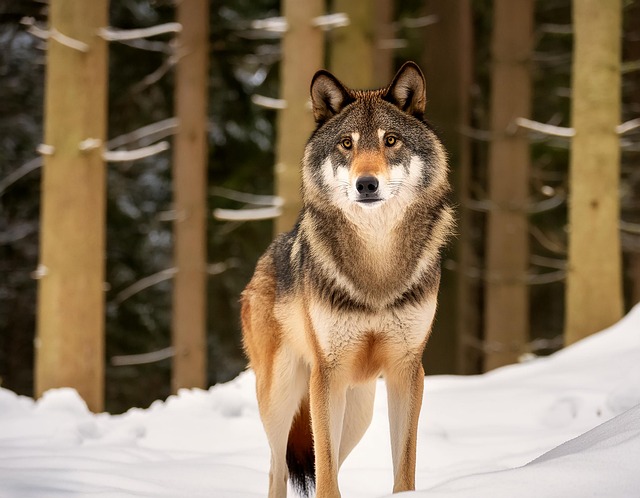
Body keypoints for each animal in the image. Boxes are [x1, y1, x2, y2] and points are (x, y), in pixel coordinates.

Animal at [241, 63, 456, 498]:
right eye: (346, 144)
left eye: (390, 141)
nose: (366, 184)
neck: (376, 268)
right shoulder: (328, 374)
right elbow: (324, 476)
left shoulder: (407, 371)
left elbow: (403, 465)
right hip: (282, 398)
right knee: (277, 469)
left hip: (358, 412)